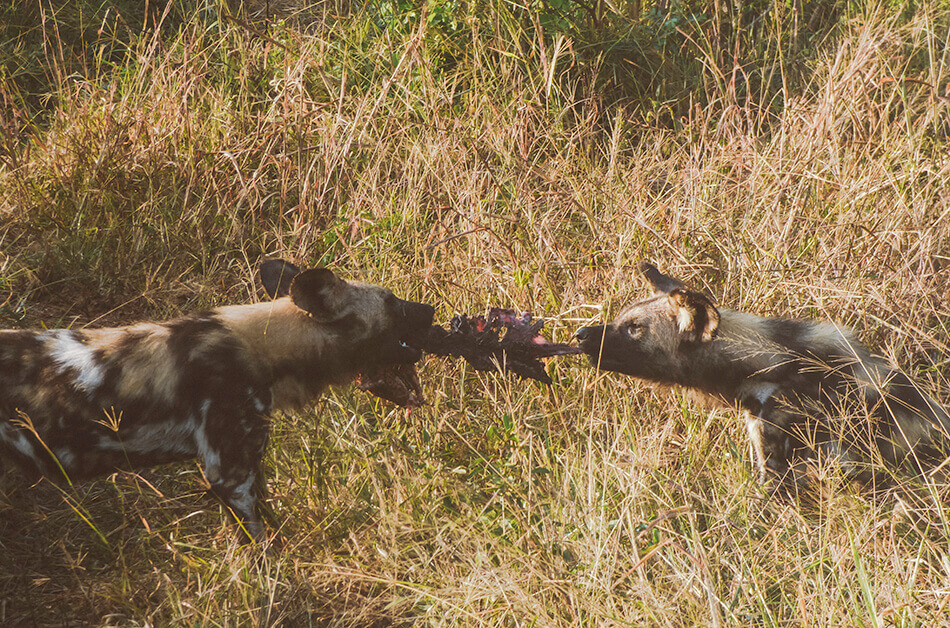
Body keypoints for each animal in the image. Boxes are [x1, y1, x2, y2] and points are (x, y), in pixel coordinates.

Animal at [0, 260, 436, 540]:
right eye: (392, 302)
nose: (431, 308)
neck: (267, 347)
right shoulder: (230, 476)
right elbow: (265, 551)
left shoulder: (250, 467)